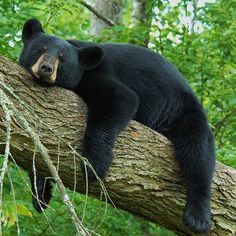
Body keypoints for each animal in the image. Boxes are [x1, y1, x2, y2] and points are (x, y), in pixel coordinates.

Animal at [19, 19, 215, 233]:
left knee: (198, 154)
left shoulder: (98, 74)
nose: (46, 68)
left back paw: (198, 216)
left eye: (62, 59)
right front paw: (41, 192)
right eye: (40, 49)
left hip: (182, 112)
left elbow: (121, 99)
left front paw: (94, 165)